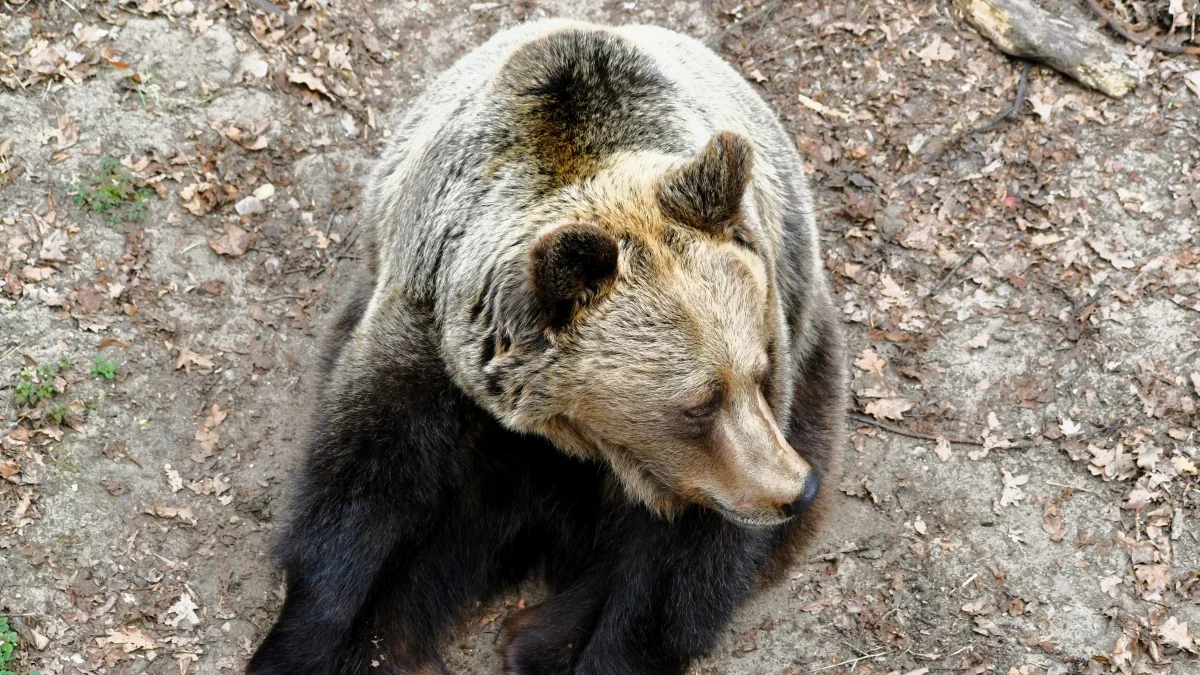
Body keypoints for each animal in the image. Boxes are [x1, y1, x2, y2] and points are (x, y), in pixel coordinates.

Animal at [246, 18, 844, 667]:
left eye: (757, 373)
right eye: (697, 404)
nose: (794, 489)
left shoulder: (747, 399)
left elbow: (679, 568)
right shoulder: (428, 338)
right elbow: (365, 489)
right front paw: (300, 645)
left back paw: (535, 637)